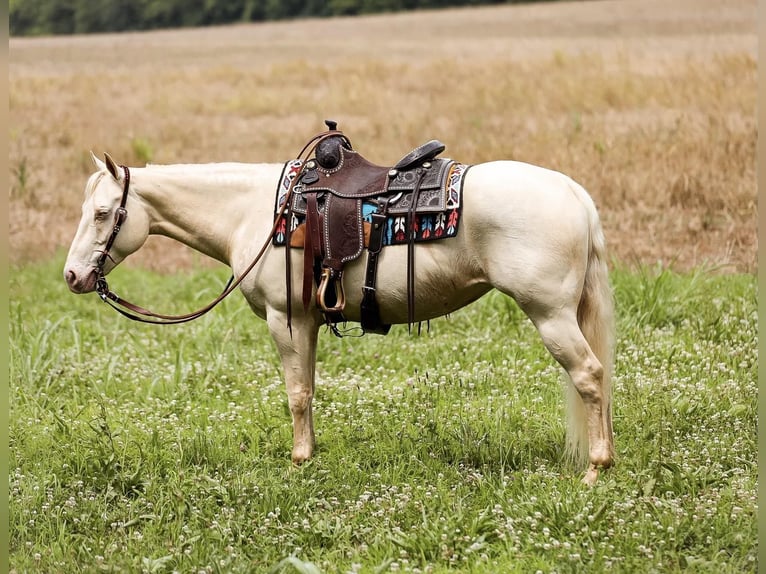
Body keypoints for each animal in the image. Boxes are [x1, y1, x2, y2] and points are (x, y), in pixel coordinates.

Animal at [63, 142, 615, 485]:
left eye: (102, 213)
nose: (72, 276)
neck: (253, 212)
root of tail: (576, 195)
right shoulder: (305, 321)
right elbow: (308, 391)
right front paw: (310, 456)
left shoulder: (285, 319)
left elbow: (297, 394)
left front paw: (298, 462)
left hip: (551, 315)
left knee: (589, 375)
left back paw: (596, 468)